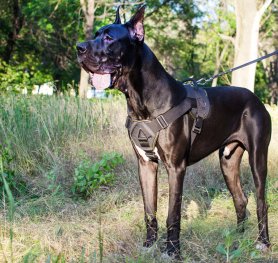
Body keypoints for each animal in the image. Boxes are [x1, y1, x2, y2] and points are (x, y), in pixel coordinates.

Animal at [76, 5, 272, 258]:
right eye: (97, 34)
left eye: (109, 38)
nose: (79, 48)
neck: (142, 100)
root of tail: (256, 99)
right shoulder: (146, 164)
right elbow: (149, 209)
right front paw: (149, 245)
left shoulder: (175, 167)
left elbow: (173, 213)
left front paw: (172, 252)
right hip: (228, 161)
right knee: (240, 199)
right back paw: (237, 239)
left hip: (258, 157)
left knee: (261, 201)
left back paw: (262, 242)